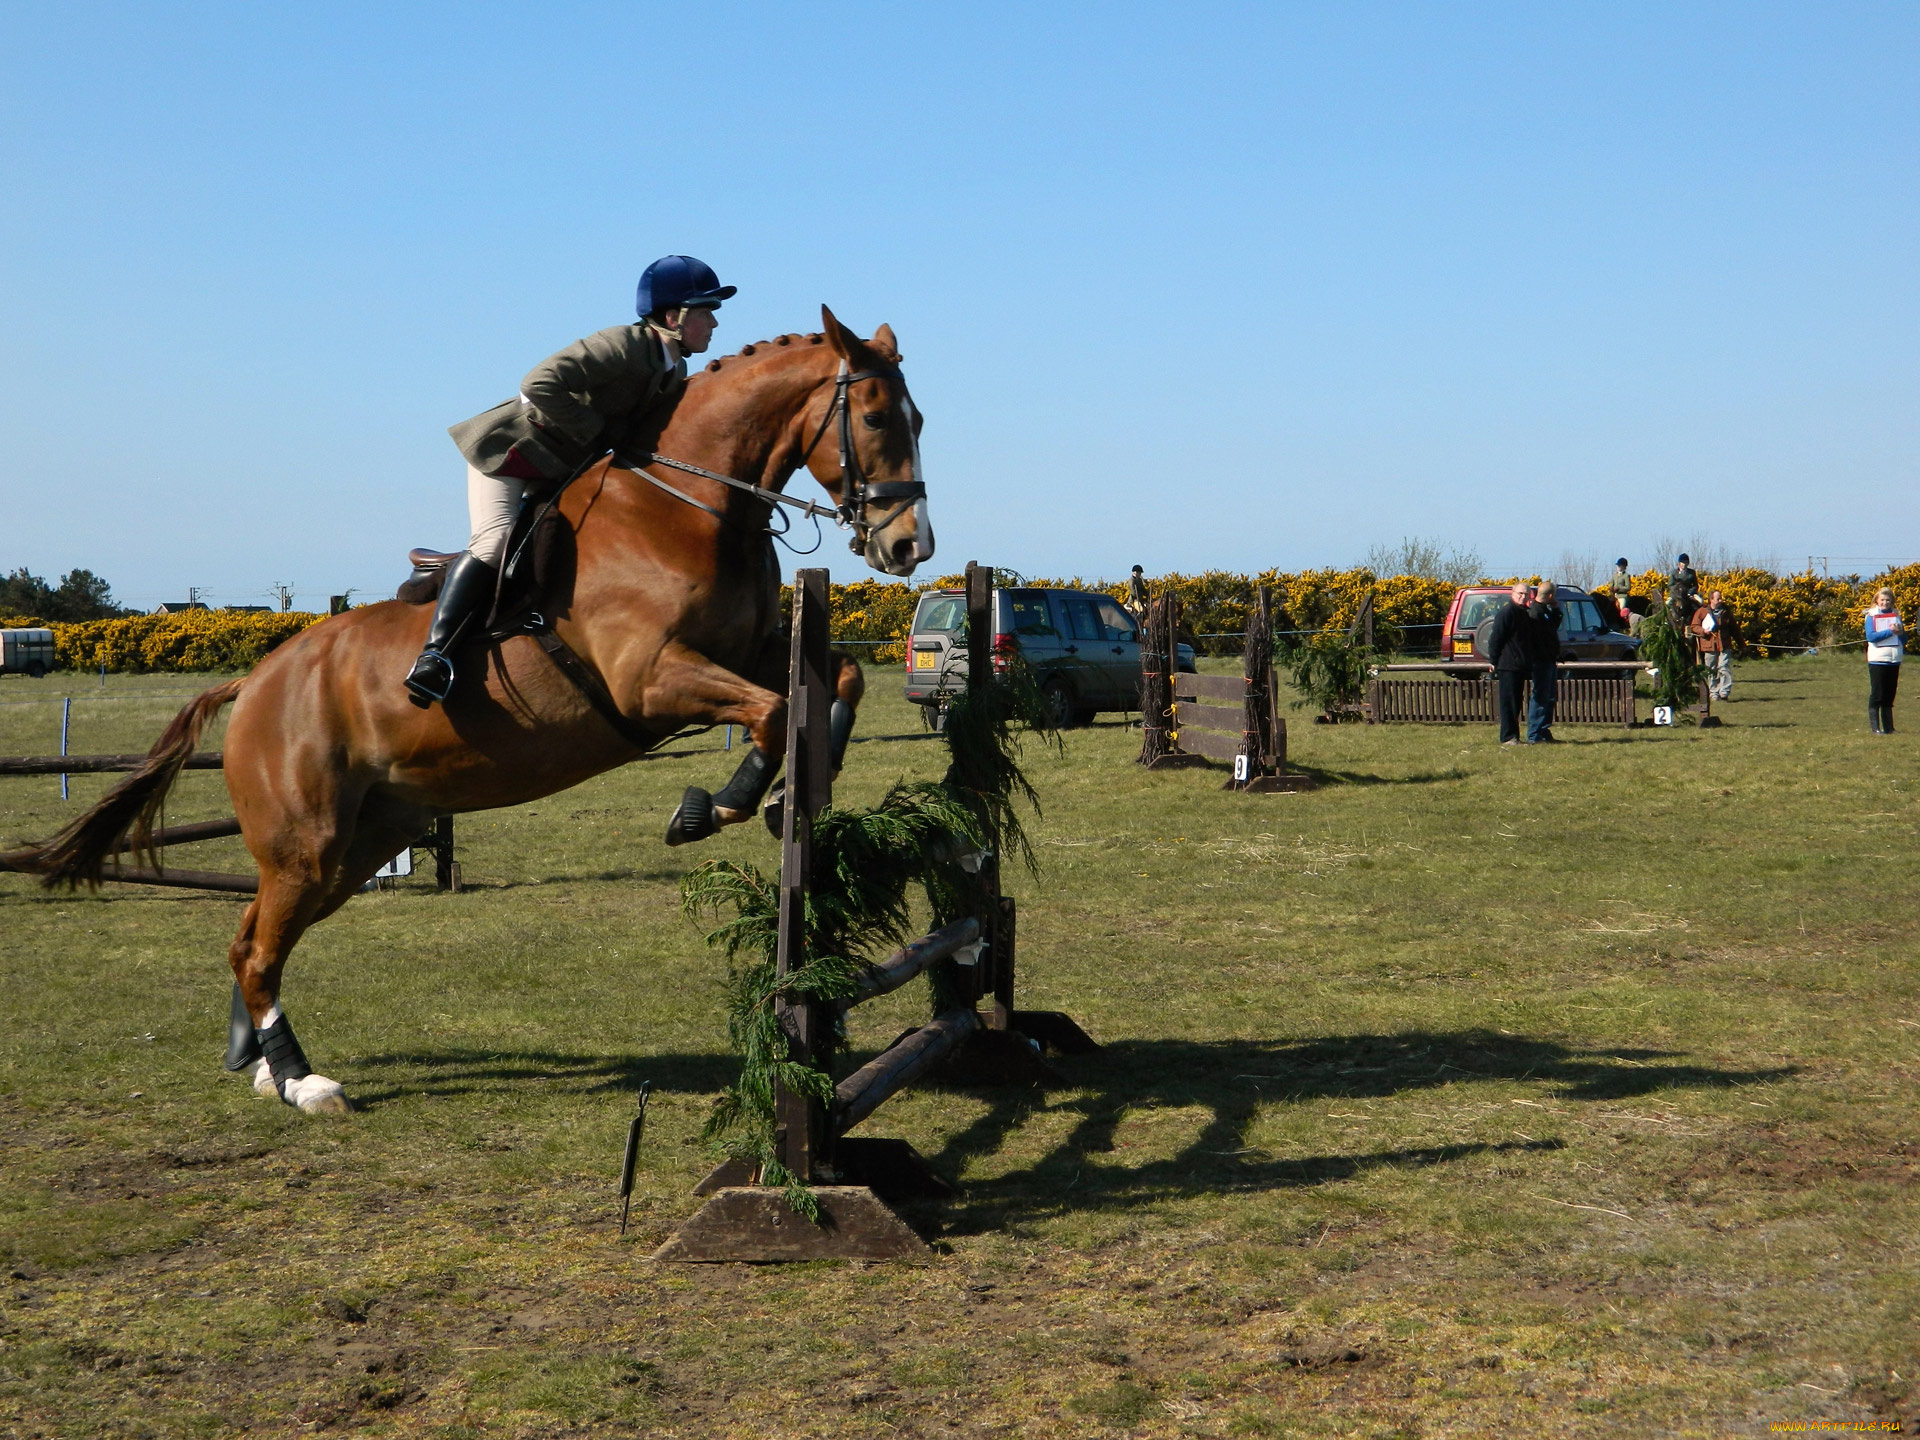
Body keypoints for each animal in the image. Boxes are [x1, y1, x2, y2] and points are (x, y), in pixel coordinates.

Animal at [0, 305, 929, 1113]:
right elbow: (770, 713)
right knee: (259, 948)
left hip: (365, 838)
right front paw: (716, 806)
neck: (684, 504)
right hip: (307, 840)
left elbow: (836, 681)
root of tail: (256, 681)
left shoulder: (747, 651)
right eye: (878, 417)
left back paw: (259, 1064)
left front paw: (791, 792)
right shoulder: (651, 678)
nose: (909, 545)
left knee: (255, 936)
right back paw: (304, 1082)